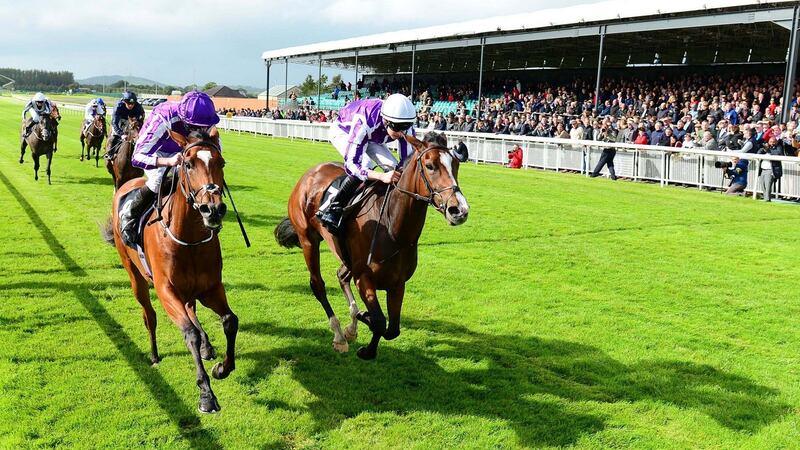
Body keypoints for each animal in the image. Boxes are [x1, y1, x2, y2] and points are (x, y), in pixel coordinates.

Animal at [101, 128, 238, 414]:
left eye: (221, 163)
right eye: (188, 164)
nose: (213, 208)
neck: (189, 239)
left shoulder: (211, 288)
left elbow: (230, 321)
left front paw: (222, 367)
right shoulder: (166, 290)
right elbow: (189, 333)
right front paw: (206, 394)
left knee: (191, 309)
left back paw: (208, 346)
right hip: (135, 276)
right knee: (149, 315)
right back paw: (154, 354)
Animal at [276, 133, 468, 358]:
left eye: (456, 164)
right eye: (430, 166)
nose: (459, 210)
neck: (392, 227)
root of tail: (310, 174)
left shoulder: (397, 283)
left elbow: (392, 329)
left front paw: (360, 323)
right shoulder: (364, 278)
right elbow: (378, 322)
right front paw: (365, 342)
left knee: (341, 275)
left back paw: (351, 327)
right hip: (308, 240)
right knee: (318, 285)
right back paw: (339, 336)